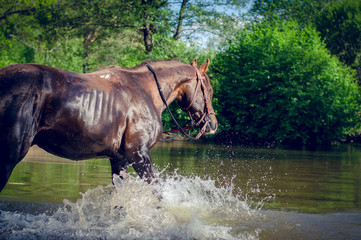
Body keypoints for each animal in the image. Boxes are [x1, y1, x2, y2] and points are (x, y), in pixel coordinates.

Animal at [0, 58, 217, 191]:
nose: (212, 124)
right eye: (209, 89)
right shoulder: (138, 154)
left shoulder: (120, 160)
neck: (146, 90)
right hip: (9, 156)